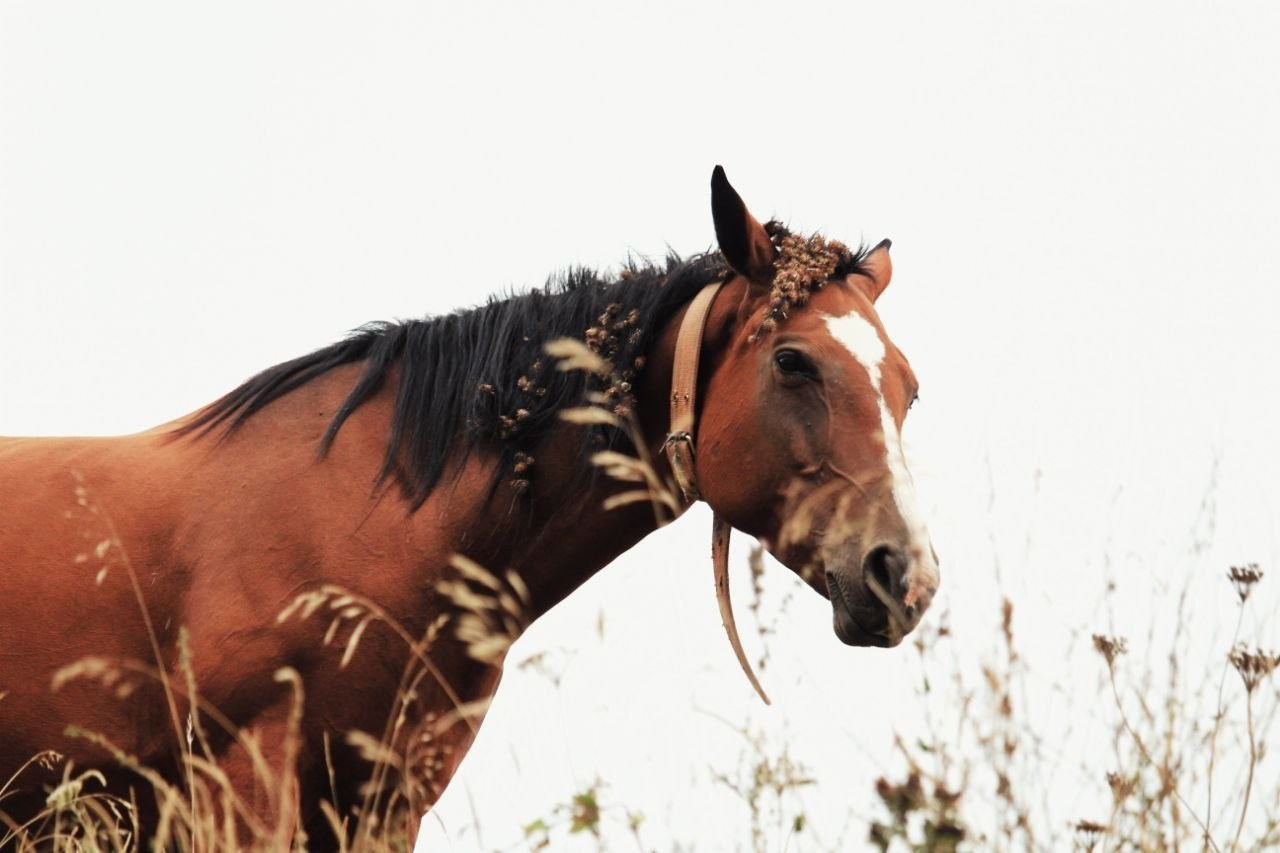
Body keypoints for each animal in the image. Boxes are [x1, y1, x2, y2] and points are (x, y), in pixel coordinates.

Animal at [0, 167, 939, 848]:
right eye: (792, 362)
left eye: (909, 388)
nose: (906, 574)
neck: (364, 526)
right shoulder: (239, 788)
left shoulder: (383, 806)